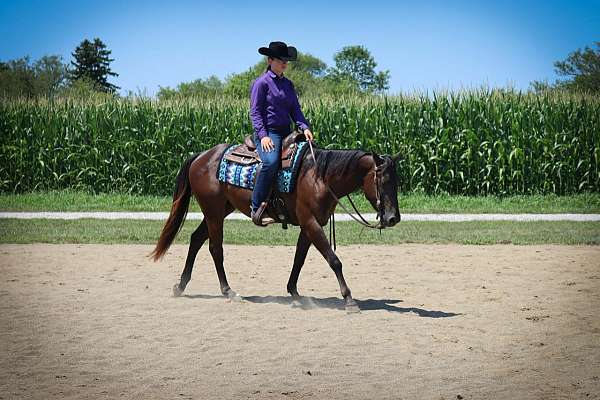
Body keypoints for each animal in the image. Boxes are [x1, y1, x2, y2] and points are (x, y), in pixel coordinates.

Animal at [152, 134, 400, 312]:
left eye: (397, 182)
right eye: (382, 179)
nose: (393, 218)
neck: (319, 176)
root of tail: (201, 156)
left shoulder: (309, 225)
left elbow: (299, 258)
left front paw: (295, 293)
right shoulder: (311, 222)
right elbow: (334, 260)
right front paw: (349, 299)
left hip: (219, 210)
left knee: (195, 239)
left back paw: (180, 286)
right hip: (213, 212)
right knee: (215, 248)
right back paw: (228, 291)